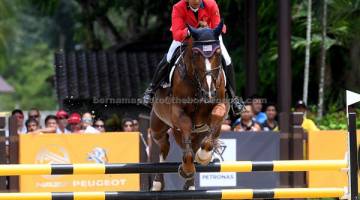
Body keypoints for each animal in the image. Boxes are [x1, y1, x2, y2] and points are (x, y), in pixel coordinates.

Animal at [150, 21, 229, 191]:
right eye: (196, 53)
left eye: (218, 53)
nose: (209, 92)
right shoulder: (179, 113)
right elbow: (186, 136)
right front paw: (186, 169)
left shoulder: (220, 105)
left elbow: (213, 126)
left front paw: (203, 157)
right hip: (158, 129)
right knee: (165, 145)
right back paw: (158, 183)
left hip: (201, 132)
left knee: (197, 142)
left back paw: (190, 184)